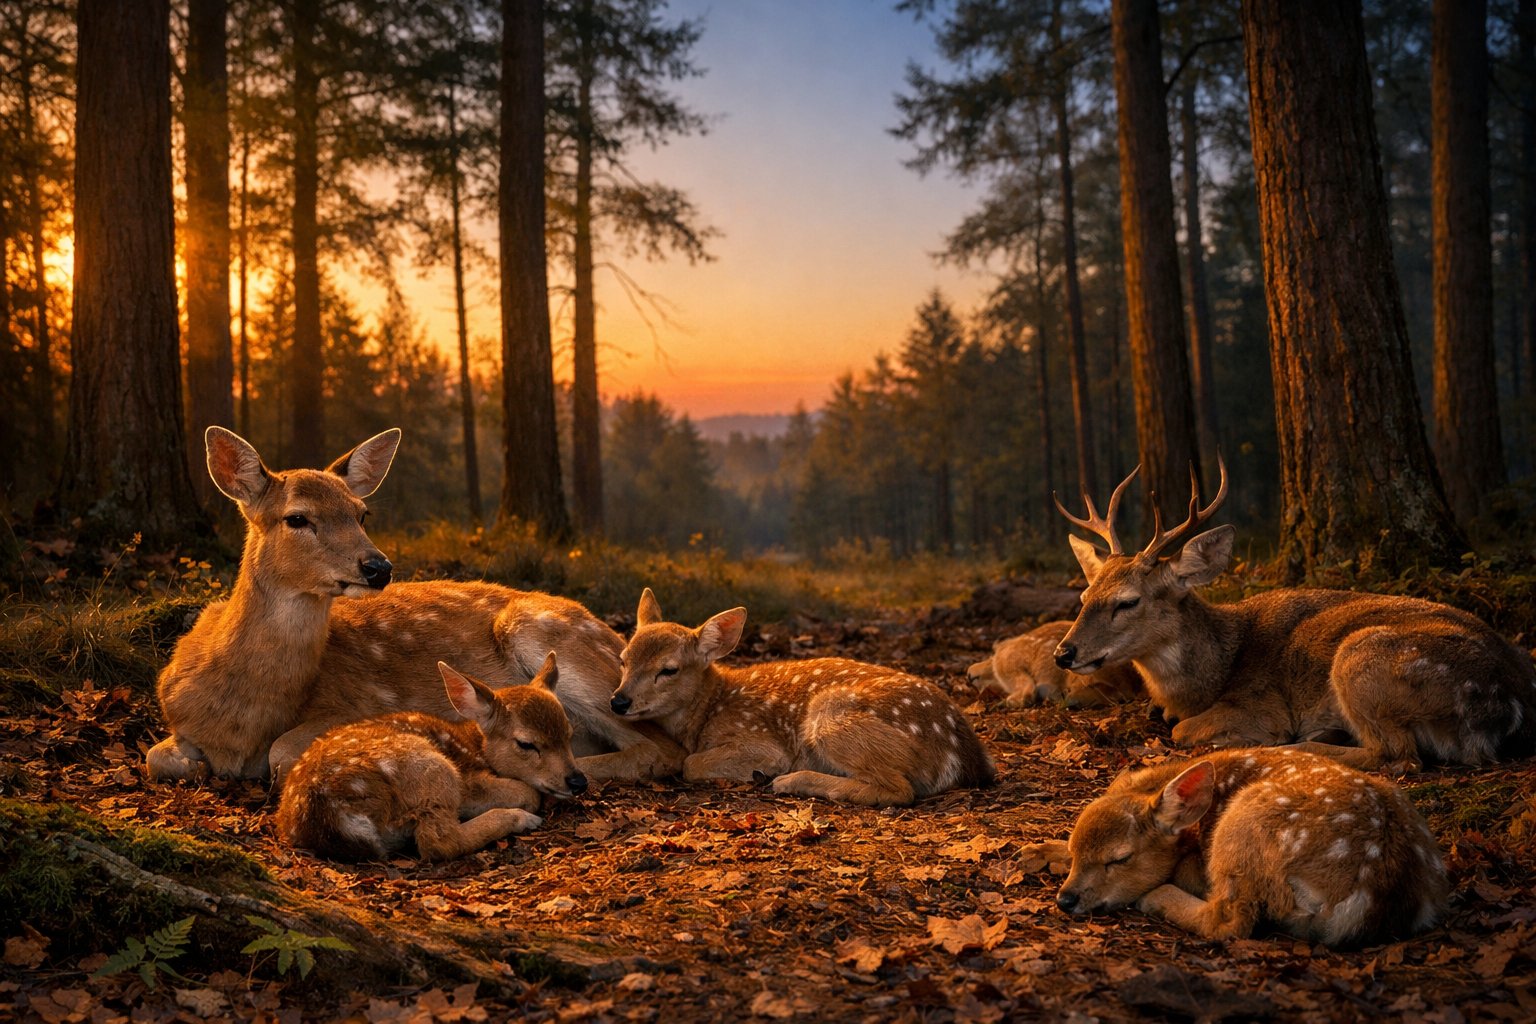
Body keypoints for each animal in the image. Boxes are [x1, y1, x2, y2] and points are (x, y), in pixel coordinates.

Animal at [147, 426, 683, 786]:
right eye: (296, 518)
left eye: (362, 513)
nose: (377, 567)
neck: (244, 713)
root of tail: (614, 634)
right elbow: (158, 757)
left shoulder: (357, 705)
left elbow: (281, 754)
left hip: (560, 646)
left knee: (658, 748)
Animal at [276, 655, 584, 861]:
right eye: (526, 743)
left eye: (569, 733)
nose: (577, 781)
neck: (474, 747)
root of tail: (331, 815)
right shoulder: (468, 780)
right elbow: (528, 792)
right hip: (429, 767)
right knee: (438, 843)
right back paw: (520, 819)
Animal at [607, 589, 996, 807]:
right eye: (623, 659)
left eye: (668, 669)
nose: (619, 701)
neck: (708, 709)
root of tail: (961, 756)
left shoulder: (761, 742)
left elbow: (691, 763)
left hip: (829, 716)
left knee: (900, 790)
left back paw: (791, 781)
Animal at [1027, 747, 1447, 948]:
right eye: (1076, 850)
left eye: (1120, 858)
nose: (1066, 899)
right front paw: (1036, 851)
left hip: (1244, 824)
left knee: (1230, 920)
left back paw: (1157, 897)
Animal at [1051, 455, 1536, 771]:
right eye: (1084, 595)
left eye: (1128, 601)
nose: (1064, 653)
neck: (1212, 674)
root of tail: (1510, 705)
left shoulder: (1262, 705)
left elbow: (1180, 730)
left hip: (1362, 658)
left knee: (1398, 757)